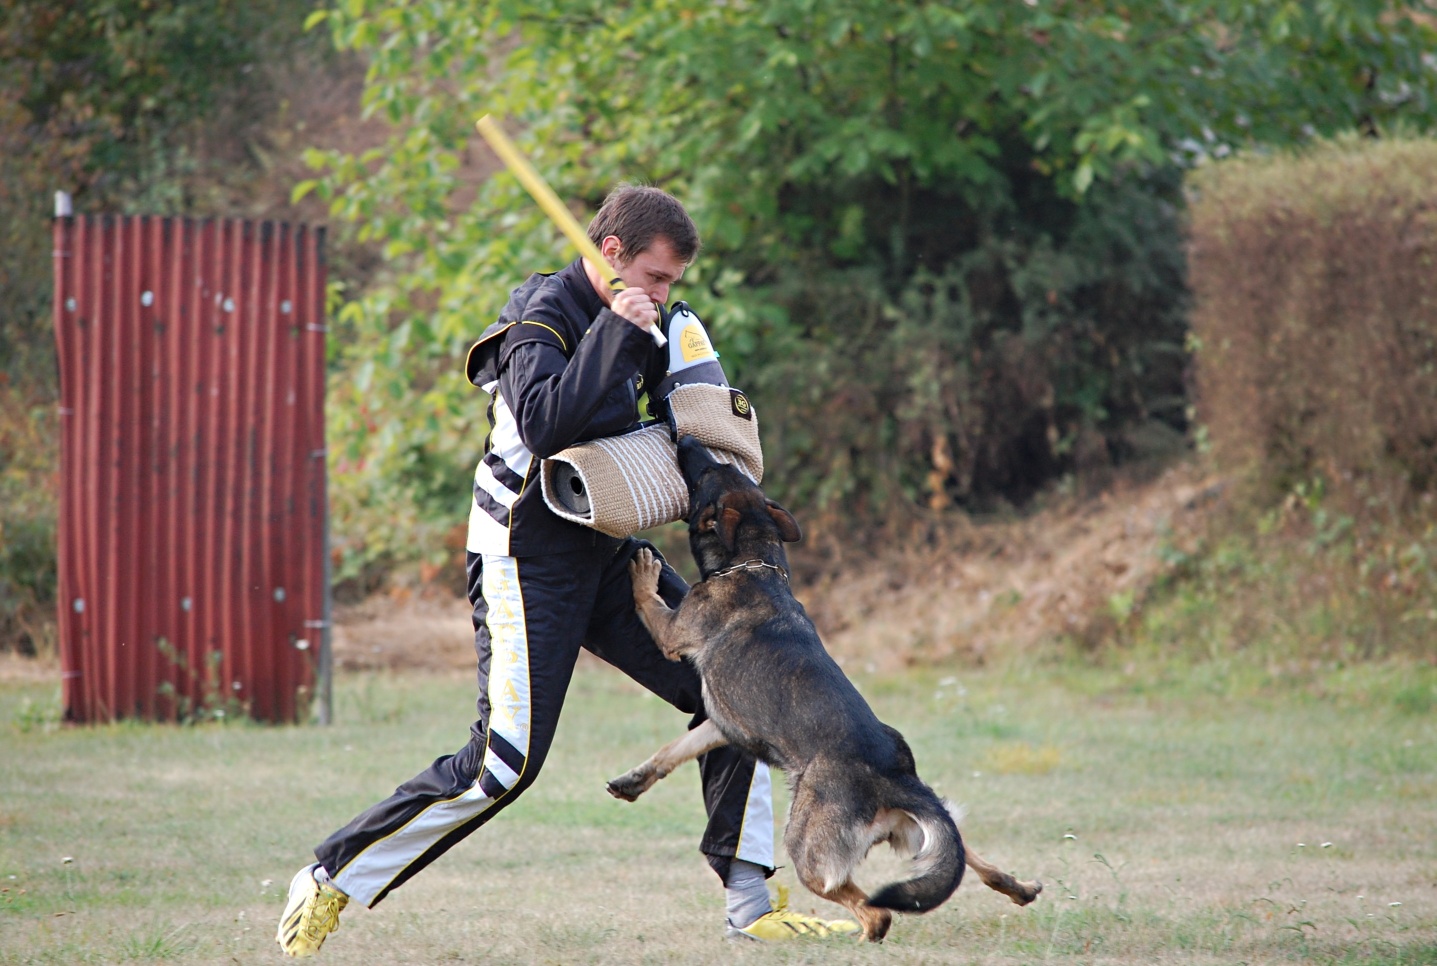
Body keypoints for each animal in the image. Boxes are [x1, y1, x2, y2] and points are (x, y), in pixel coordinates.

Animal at [609, 434, 1046, 937]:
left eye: (706, 472)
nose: (684, 436)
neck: (753, 561)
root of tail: (894, 778)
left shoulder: (672, 633)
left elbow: (646, 599)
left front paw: (643, 570)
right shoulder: (721, 726)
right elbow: (669, 752)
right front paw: (633, 781)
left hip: (807, 851)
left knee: (875, 911)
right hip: (927, 832)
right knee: (969, 857)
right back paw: (1018, 887)